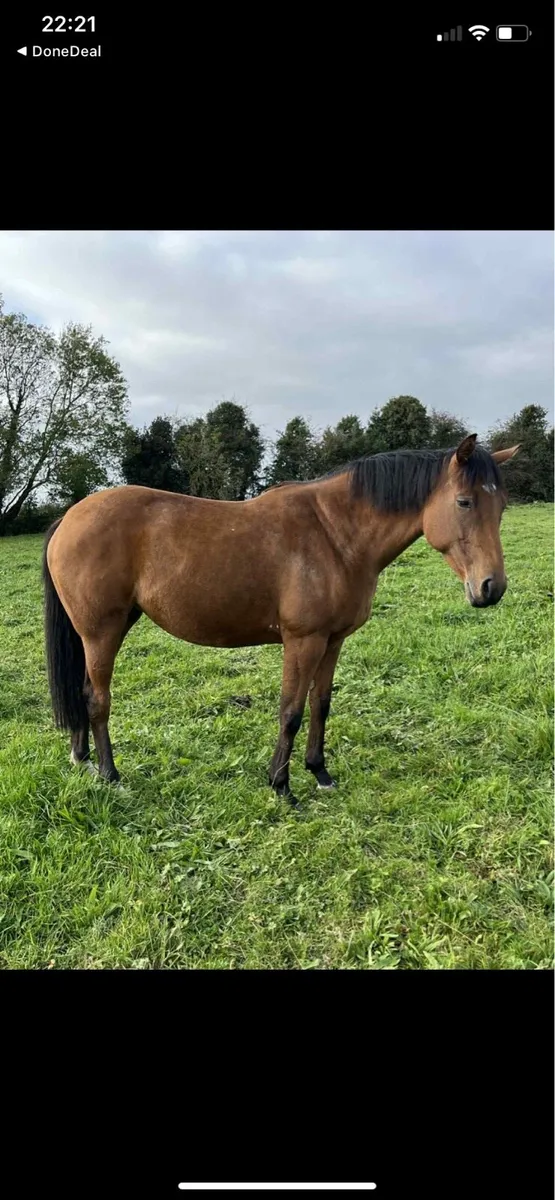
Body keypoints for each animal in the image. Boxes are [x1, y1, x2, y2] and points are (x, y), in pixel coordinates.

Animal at [42, 433, 519, 805]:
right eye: (464, 502)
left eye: (501, 508)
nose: (491, 588)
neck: (335, 535)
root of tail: (69, 516)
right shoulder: (303, 640)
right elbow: (290, 710)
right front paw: (281, 785)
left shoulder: (333, 640)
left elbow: (320, 704)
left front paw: (320, 773)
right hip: (101, 632)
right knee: (97, 699)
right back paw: (110, 775)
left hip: (106, 629)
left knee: (83, 691)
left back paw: (82, 759)